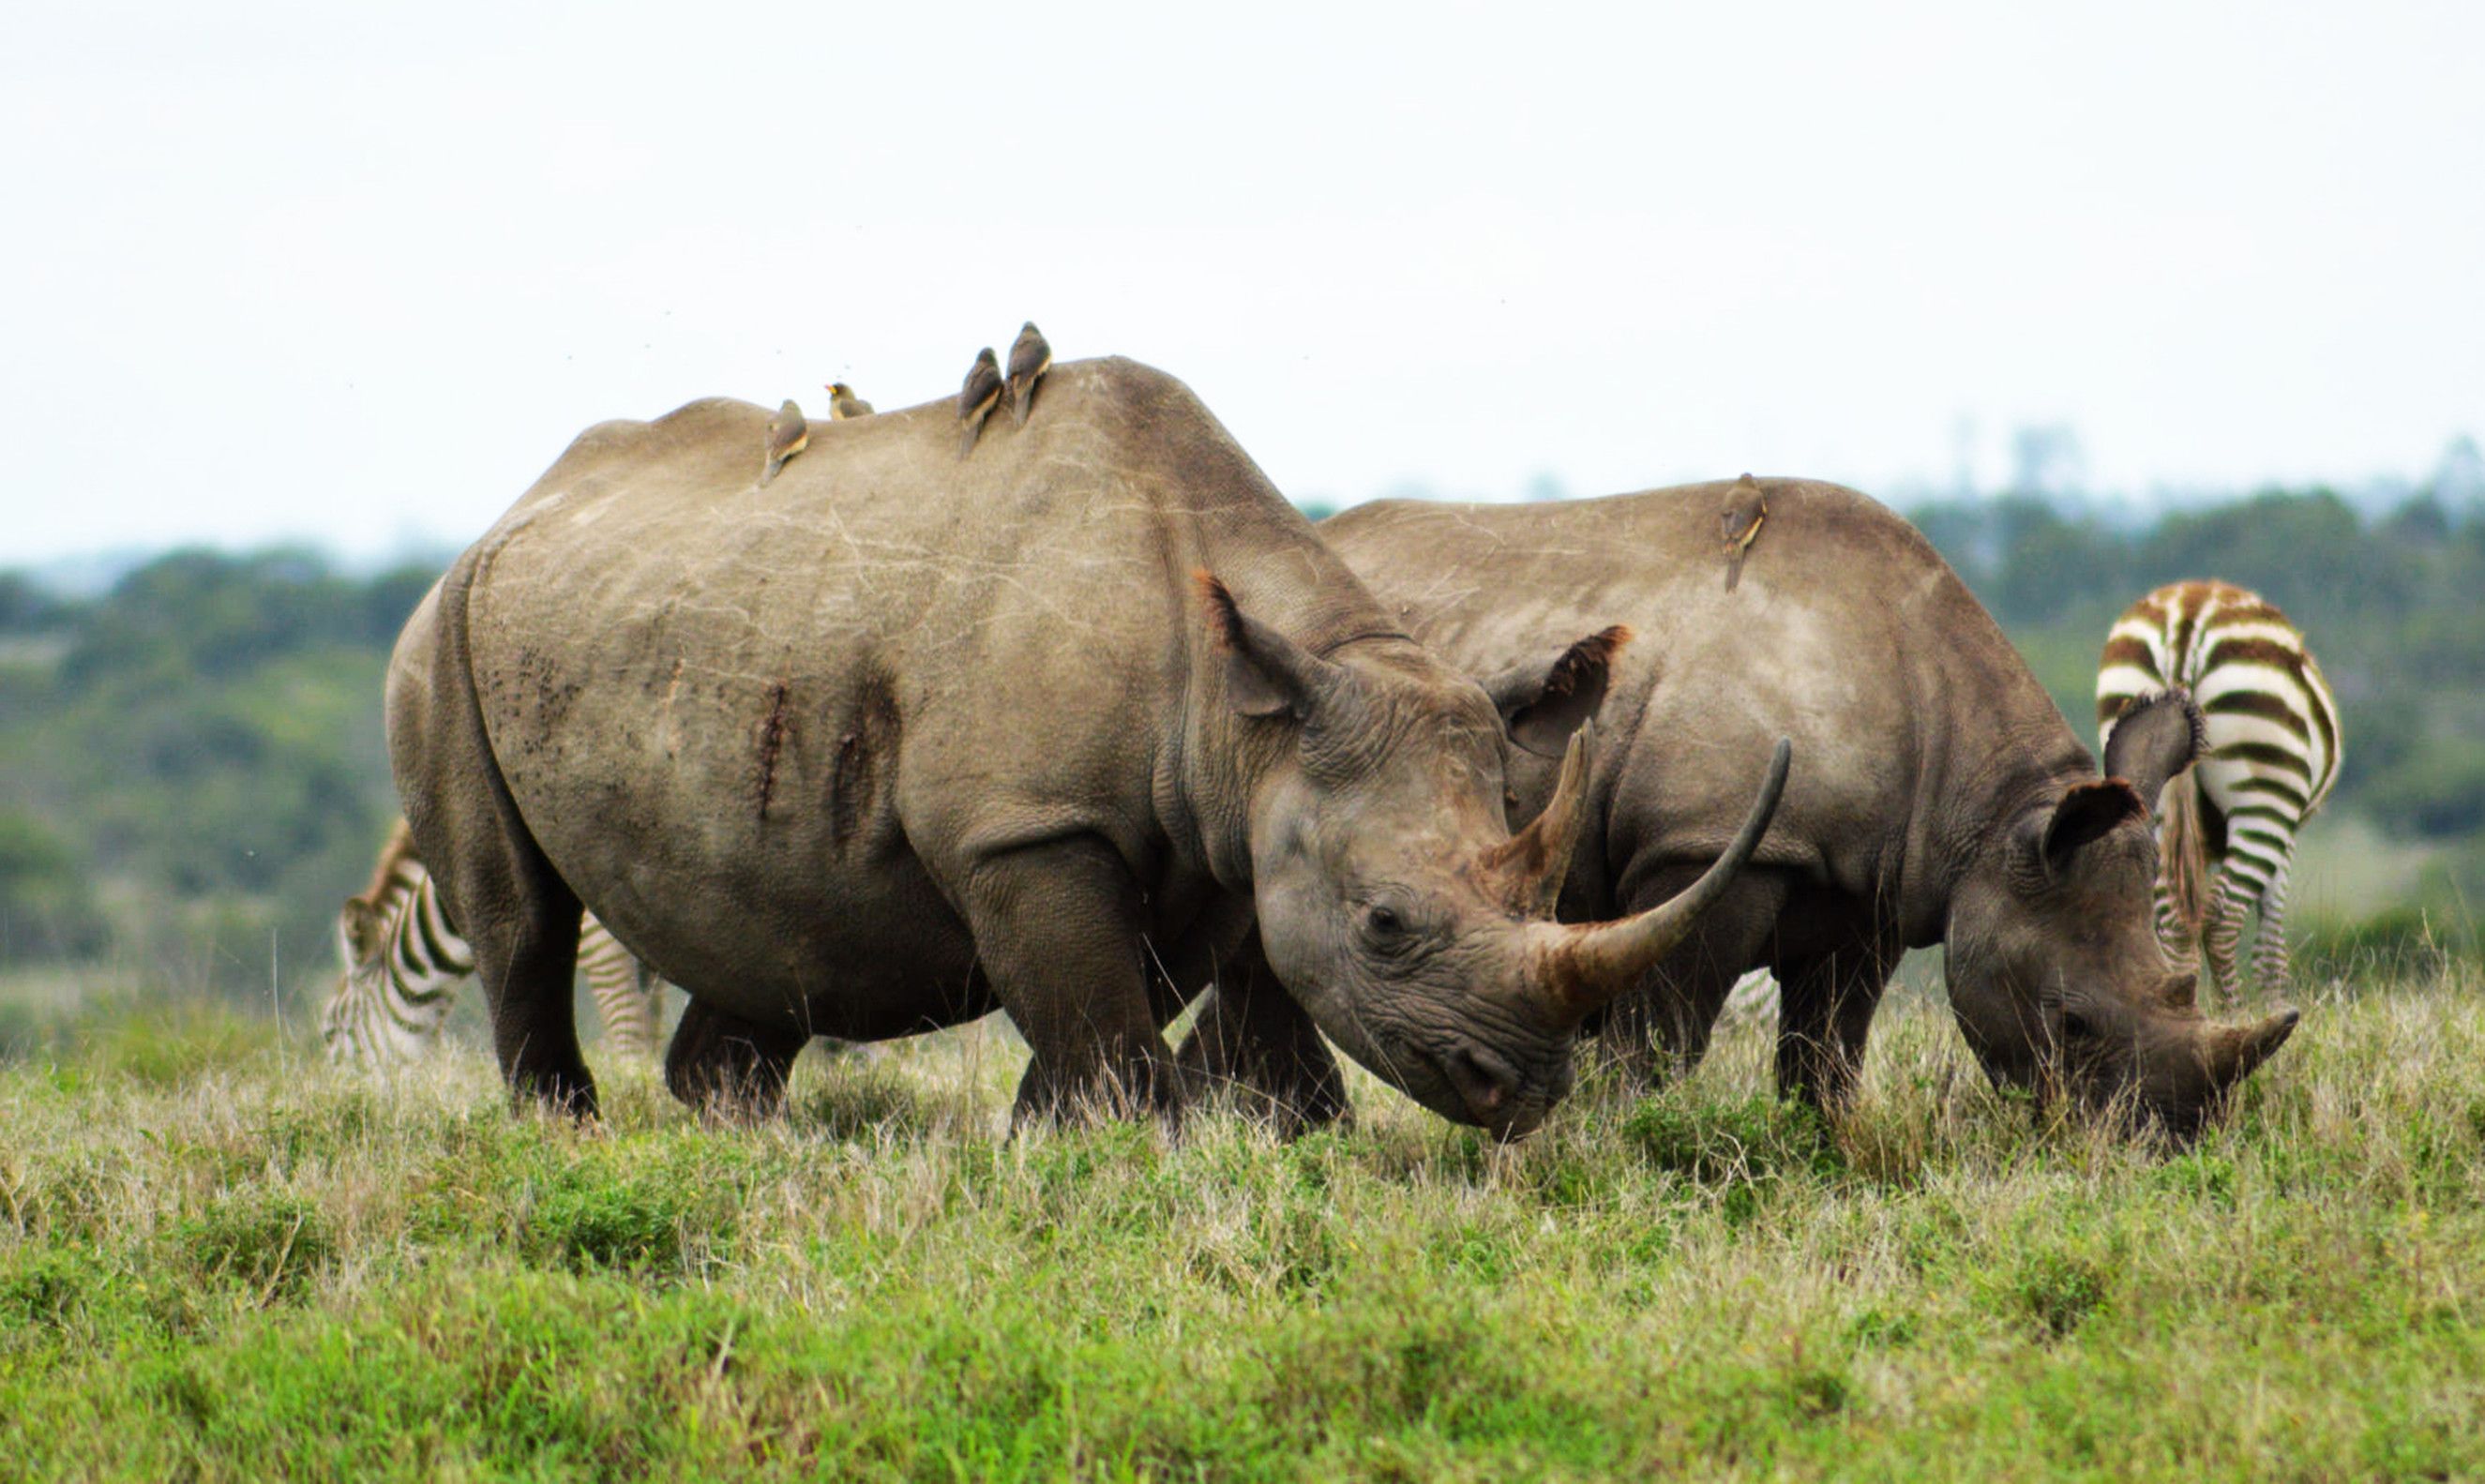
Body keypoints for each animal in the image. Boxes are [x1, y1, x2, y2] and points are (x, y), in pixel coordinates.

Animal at [386, 359, 1788, 1136]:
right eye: (1385, 924)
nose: (1523, 1088)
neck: (1241, 706)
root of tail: (516, 507)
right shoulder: (1024, 825)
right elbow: (1100, 1020)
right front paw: (1129, 1154)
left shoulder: (1221, 829)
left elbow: (1110, 1015)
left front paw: (1053, 1144)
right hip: (441, 633)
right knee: (517, 913)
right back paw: (565, 1134)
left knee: (771, 919)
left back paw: (742, 1137)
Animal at [1186, 478, 2298, 1138]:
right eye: (2070, 1024)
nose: (2166, 1143)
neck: (1990, 809)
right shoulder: (1707, 846)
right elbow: (1662, 1039)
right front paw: (1613, 1137)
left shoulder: (1871, 884)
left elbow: (1827, 1052)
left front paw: (1823, 1146)